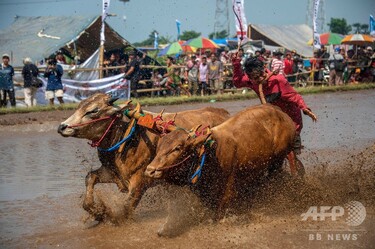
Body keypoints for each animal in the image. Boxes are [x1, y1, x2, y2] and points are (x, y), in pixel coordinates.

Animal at [57, 93, 231, 220]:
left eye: (93, 111)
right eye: (79, 107)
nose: (62, 127)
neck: (128, 136)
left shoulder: (140, 181)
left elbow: (125, 209)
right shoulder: (113, 173)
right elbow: (90, 178)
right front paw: (98, 212)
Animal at [146, 103, 296, 220]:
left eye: (177, 148)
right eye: (159, 147)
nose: (150, 170)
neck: (210, 153)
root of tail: (280, 112)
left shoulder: (228, 192)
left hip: (277, 161)